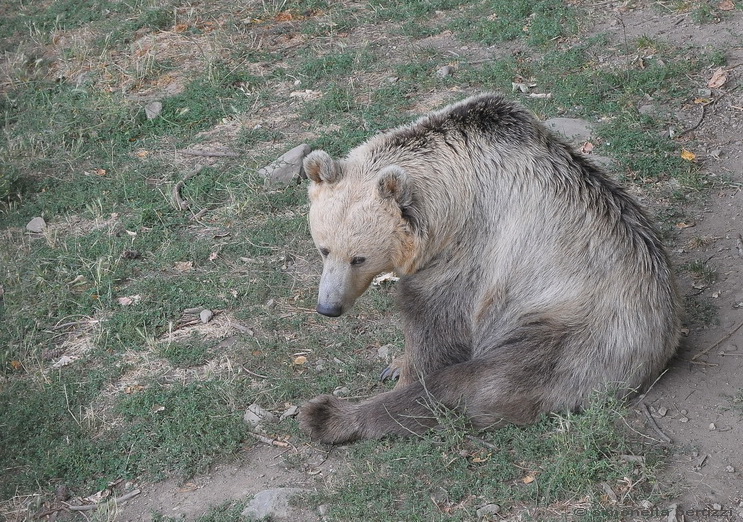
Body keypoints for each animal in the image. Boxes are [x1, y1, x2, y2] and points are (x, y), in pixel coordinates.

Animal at [296, 92, 680, 442]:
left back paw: (329, 415)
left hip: (570, 334)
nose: (328, 307)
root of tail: (662, 342)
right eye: (324, 249)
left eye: (358, 257)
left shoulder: (473, 252)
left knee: (470, 385)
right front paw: (395, 364)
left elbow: (435, 324)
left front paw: (404, 374)